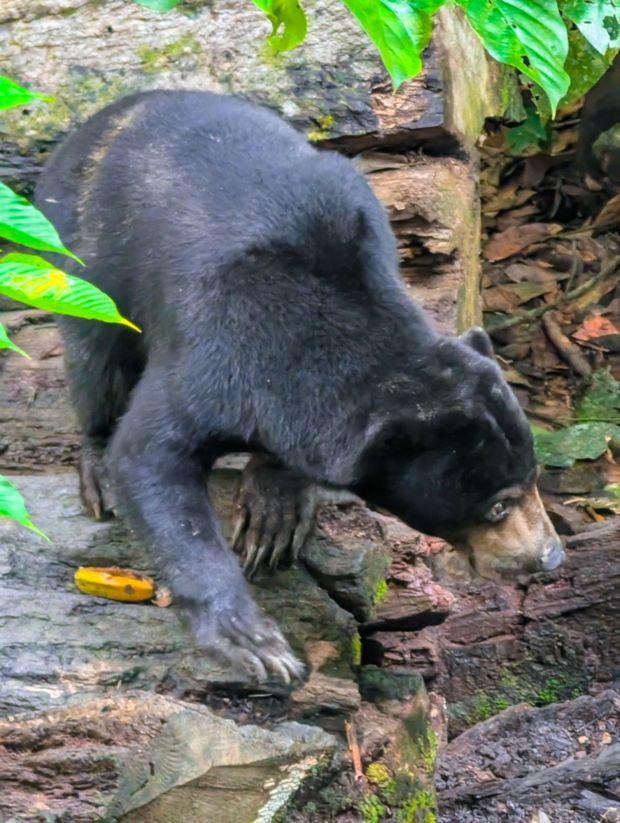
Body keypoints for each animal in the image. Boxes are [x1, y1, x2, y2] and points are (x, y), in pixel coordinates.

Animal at [35, 90, 564, 683]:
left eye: (534, 478)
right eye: (497, 505)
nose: (549, 557)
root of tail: (97, 122)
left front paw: (273, 514)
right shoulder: (219, 349)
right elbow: (150, 453)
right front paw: (253, 643)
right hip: (85, 254)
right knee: (96, 361)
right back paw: (97, 467)